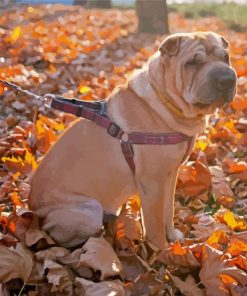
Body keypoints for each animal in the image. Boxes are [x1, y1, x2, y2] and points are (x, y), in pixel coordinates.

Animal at [28, 31, 236, 250]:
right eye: (192, 63)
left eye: (225, 57)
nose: (227, 79)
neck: (165, 102)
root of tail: (34, 211)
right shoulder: (152, 182)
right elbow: (154, 224)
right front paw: (162, 253)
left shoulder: (170, 175)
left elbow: (168, 210)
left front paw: (172, 237)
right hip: (88, 211)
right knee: (58, 236)